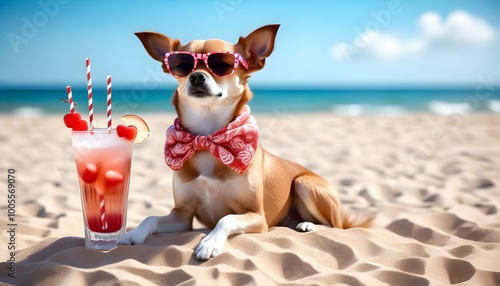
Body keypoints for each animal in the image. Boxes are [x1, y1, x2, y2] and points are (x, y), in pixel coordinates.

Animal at [119, 25, 374, 262]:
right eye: (181, 64)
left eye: (222, 64)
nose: (197, 76)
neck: (207, 136)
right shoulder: (182, 216)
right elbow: (150, 217)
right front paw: (133, 234)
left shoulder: (257, 216)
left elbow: (226, 218)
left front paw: (209, 243)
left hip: (305, 184)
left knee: (335, 225)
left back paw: (307, 225)